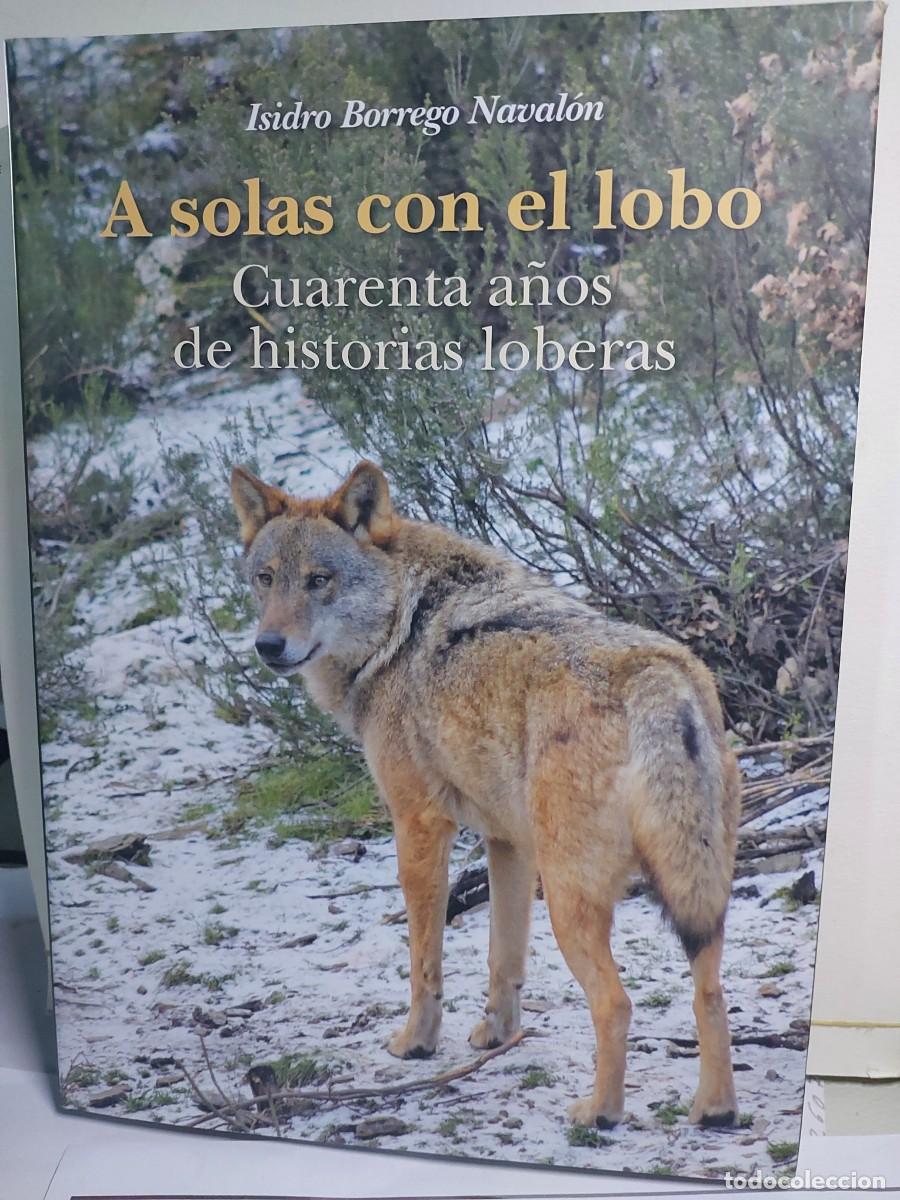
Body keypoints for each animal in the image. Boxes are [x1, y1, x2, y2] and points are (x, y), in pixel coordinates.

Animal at [231, 459, 740, 1129]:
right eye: (266, 579)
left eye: (320, 580)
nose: (268, 646)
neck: (398, 628)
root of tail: (658, 678)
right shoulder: (506, 842)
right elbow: (504, 957)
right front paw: (497, 1035)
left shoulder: (418, 825)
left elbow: (425, 962)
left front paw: (415, 1044)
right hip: (695, 893)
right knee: (709, 990)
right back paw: (714, 1109)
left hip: (571, 899)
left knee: (616, 1003)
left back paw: (599, 1113)